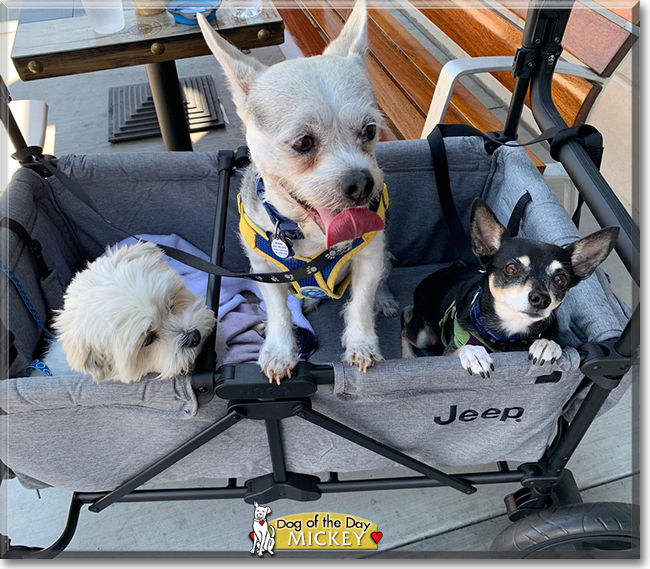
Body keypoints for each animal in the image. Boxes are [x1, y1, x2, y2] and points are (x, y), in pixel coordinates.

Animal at [196, 1, 394, 382]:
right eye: (303, 143)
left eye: (370, 130)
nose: (362, 182)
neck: (310, 238)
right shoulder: (264, 268)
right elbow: (278, 310)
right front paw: (279, 350)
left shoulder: (368, 256)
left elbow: (360, 301)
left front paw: (362, 342)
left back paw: (384, 297)